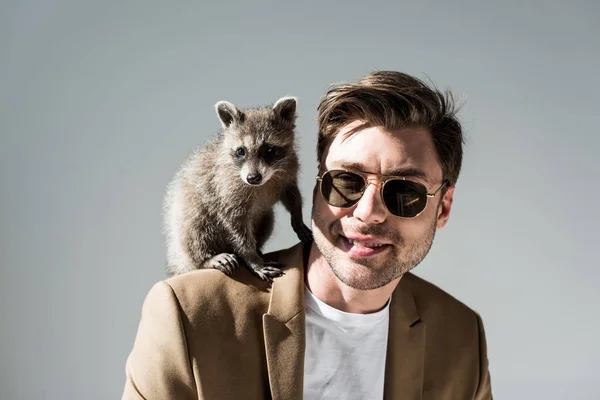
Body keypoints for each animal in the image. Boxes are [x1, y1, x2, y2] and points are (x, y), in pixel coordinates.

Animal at [164, 95, 314, 280]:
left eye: (269, 149)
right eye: (241, 151)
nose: (253, 178)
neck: (266, 180)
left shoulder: (289, 170)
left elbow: (292, 194)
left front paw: (297, 215)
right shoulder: (226, 188)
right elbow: (236, 224)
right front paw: (251, 258)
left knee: (267, 220)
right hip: (189, 217)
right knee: (195, 226)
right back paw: (207, 258)